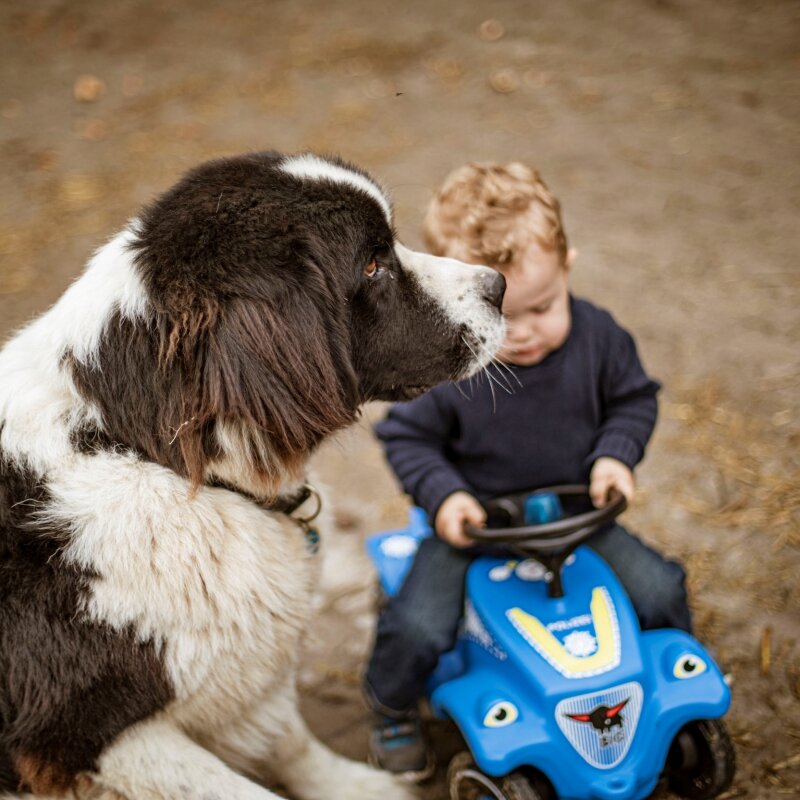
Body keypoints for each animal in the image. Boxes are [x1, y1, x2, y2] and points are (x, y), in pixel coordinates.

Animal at [0, 152, 504, 800]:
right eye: (373, 265)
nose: (500, 285)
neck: (142, 448)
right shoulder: (77, 740)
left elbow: (288, 738)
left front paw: (355, 787)